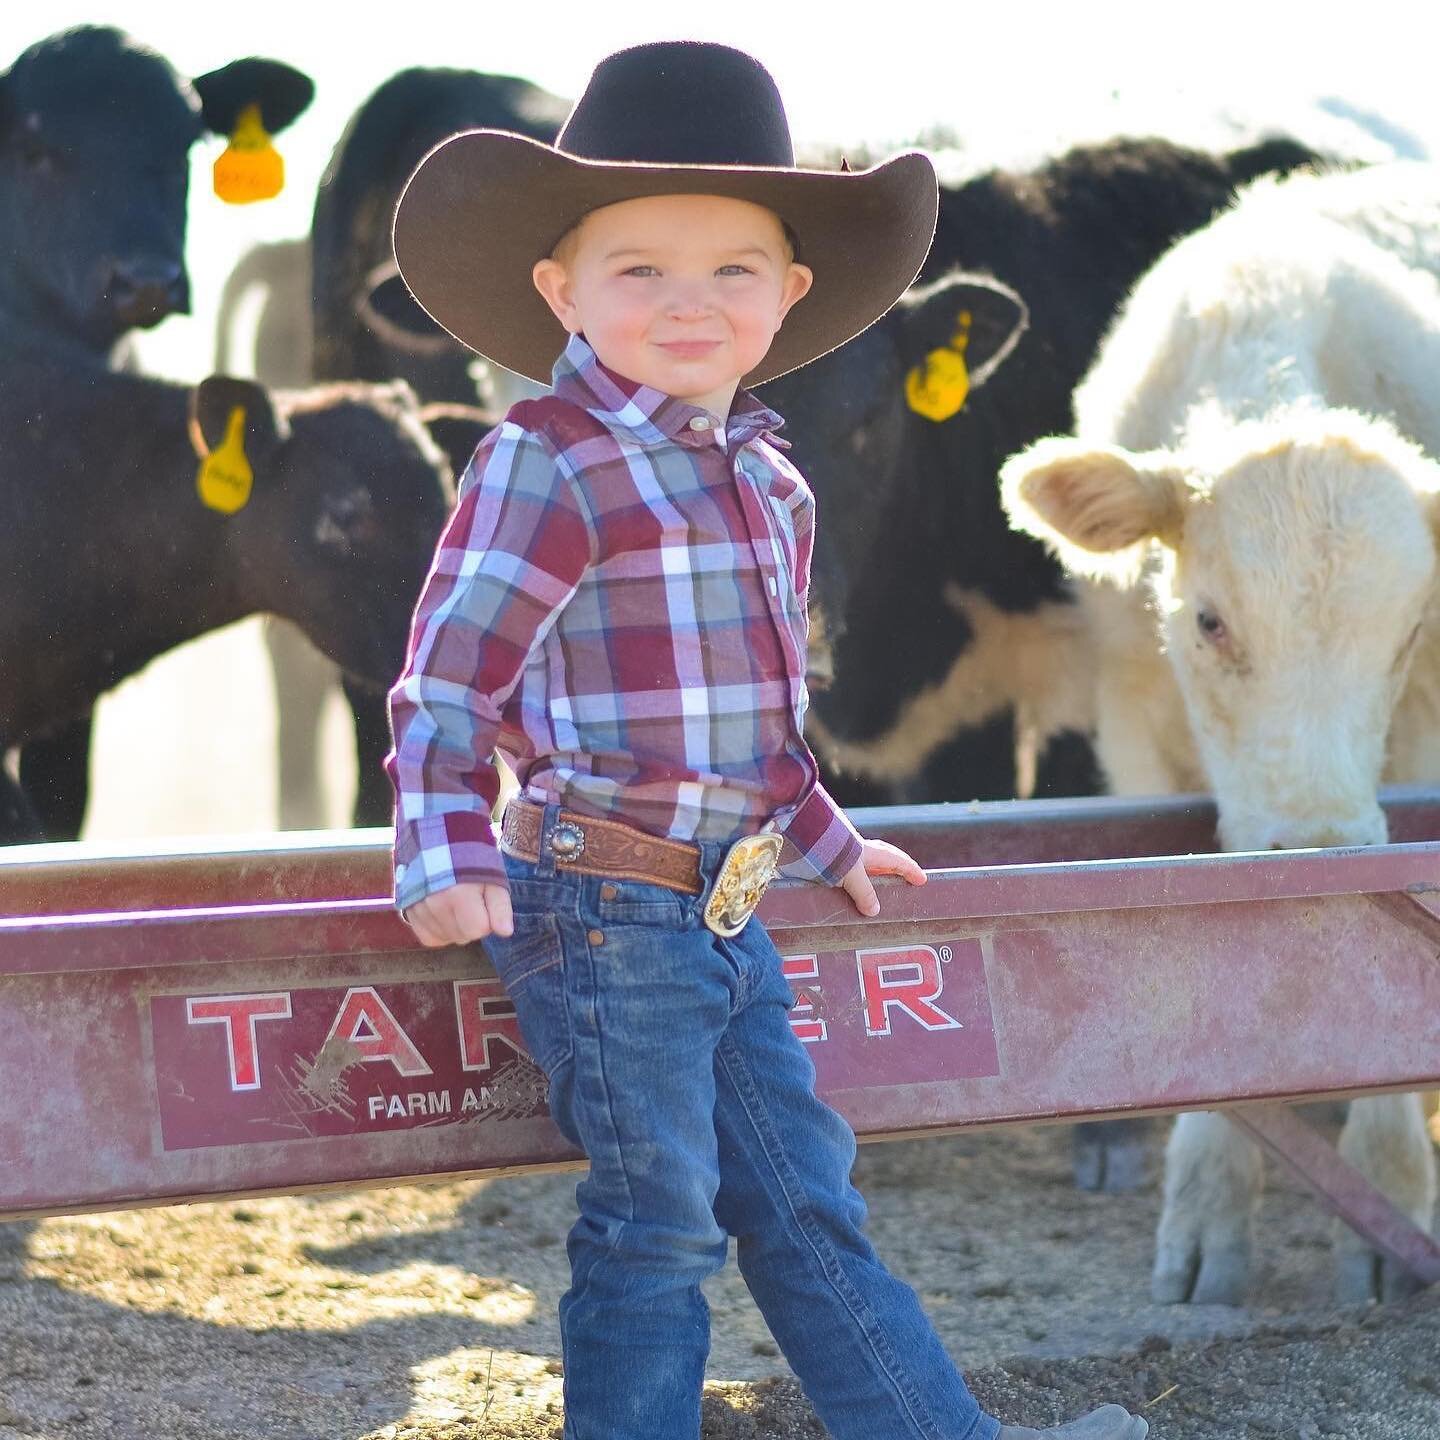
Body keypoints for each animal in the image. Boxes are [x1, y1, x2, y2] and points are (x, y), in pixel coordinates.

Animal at [1000, 161, 1440, 1306]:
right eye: (1207, 620)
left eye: (1410, 627)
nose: (1317, 848)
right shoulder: (1132, 725)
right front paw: (1205, 1203)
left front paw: (1390, 1190)